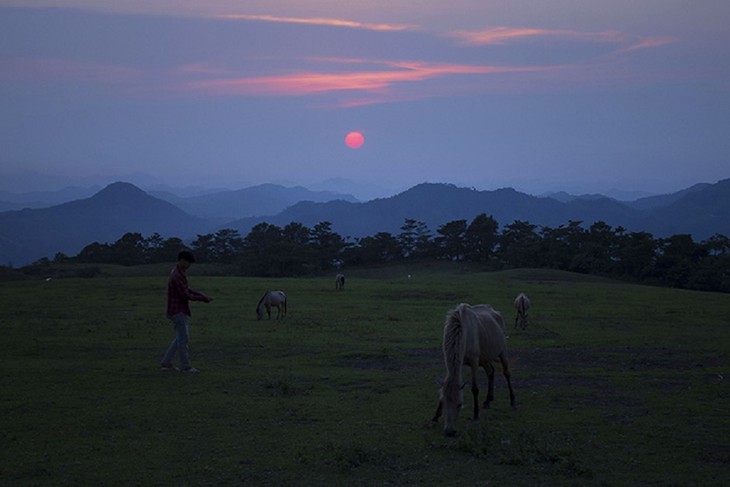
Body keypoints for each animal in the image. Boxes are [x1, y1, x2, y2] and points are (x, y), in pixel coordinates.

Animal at [430, 304, 516, 436]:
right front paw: (435, 417)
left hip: (502, 351)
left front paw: (476, 416)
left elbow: (474, 389)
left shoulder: (474, 362)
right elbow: (445, 386)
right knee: (490, 372)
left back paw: (512, 401)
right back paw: (488, 401)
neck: (463, 333)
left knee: (507, 373)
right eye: (444, 402)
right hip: (485, 358)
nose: (449, 431)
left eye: (460, 404)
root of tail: (496, 312)